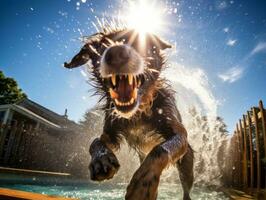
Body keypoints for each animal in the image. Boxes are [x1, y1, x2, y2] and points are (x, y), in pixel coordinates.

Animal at [64, 28, 193, 200]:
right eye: (101, 48)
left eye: (141, 43)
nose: (117, 53)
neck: (138, 113)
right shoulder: (111, 132)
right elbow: (95, 142)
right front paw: (101, 160)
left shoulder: (178, 132)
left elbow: (159, 149)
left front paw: (142, 183)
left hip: (187, 165)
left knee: (186, 189)